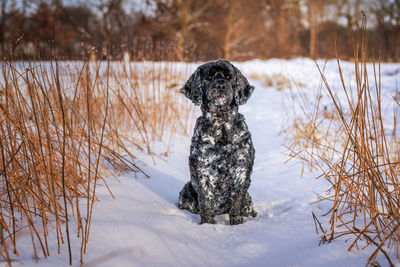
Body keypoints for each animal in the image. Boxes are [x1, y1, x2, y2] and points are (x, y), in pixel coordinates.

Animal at [178, 59, 256, 225]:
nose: (220, 85)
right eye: (208, 77)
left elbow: (237, 199)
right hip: (186, 191)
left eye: (229, 77)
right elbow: (205, 200)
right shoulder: (203, 170)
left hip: (248, 199)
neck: (221, 124)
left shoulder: (242, 169)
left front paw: (236, 221)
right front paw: (207, 224)